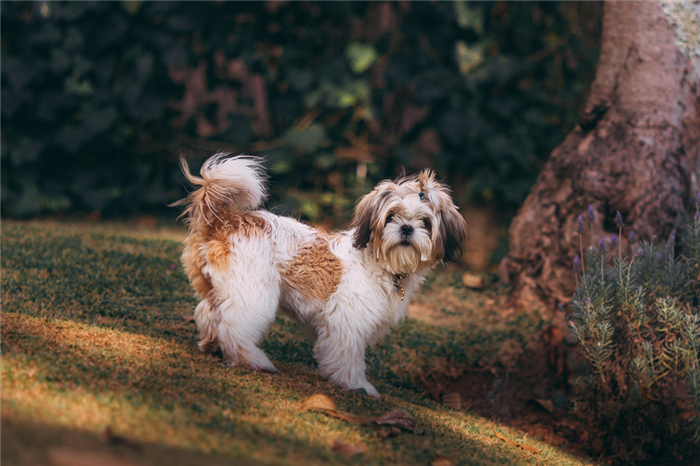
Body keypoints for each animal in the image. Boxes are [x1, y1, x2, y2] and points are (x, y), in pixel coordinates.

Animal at [174, 155, 464, 398]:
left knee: (209, 313)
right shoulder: (347, 322)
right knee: (234, 327)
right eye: (391, 216)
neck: (382, 264)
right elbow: (348, 357)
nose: (406, 228)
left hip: (220, 286)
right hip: (254, 292)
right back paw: (252, 359)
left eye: (425, 222)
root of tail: (226, 220)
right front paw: (357, 384)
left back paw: (212, 345)